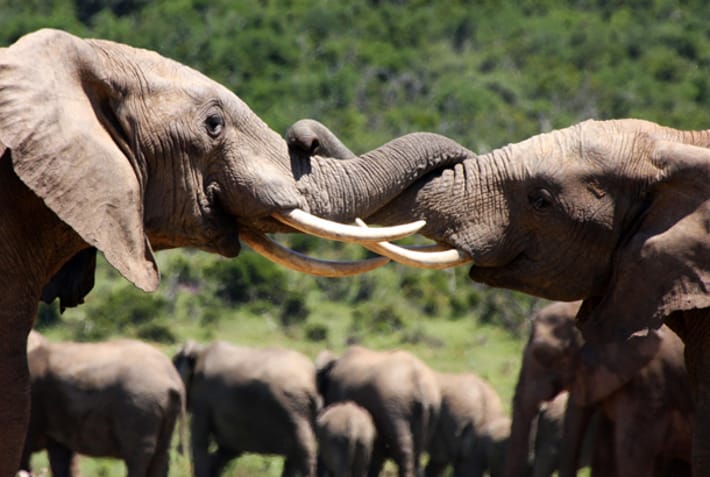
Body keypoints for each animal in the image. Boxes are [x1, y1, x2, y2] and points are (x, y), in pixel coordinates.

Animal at [172, 340, 320, 477]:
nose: (180, 451)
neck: (200, 350)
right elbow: (227, 449)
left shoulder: (203, 397)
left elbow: (201, 442)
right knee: (295, 456)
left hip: (293, 408)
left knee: (303, 451)